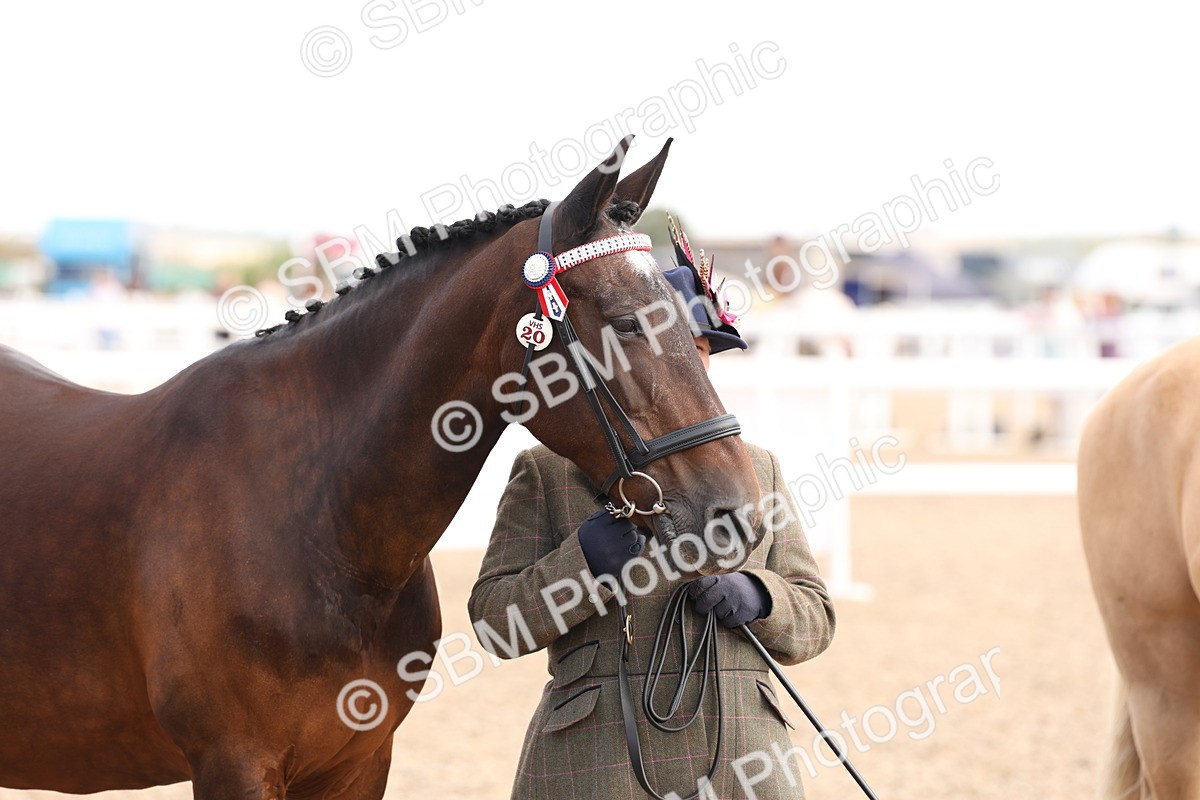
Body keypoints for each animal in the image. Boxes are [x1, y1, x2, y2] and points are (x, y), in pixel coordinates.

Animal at [0, 137, 763, 798]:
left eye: (691, 328)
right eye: (626, 320)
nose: (737, 515)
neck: (313, 516)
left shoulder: (359, 762)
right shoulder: (234, 765)